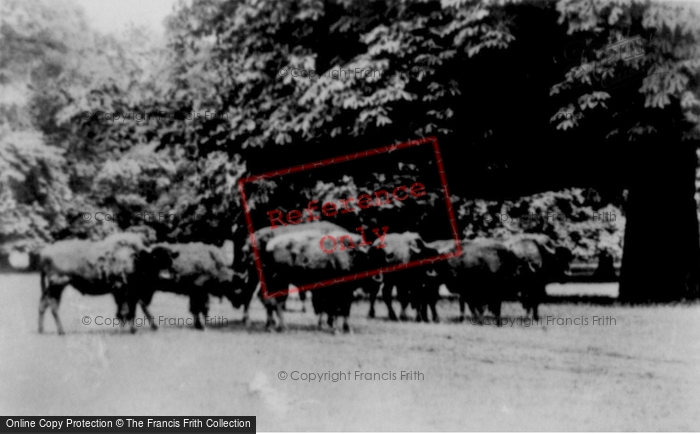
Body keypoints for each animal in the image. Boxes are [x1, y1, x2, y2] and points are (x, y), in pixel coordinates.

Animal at [37, 232, 178, 334]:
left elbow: (130, 310)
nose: (166, 275)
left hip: (52, 288)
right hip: (57, 286)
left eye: (170, 259)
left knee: (43, 305)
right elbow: (126, 311)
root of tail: (44, 253)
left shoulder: (128, 293)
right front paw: (126, 330)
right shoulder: (122, 290)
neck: (136, 259)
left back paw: (42, 330)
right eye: (155, 258)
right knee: (53, 307)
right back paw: (61, 331)